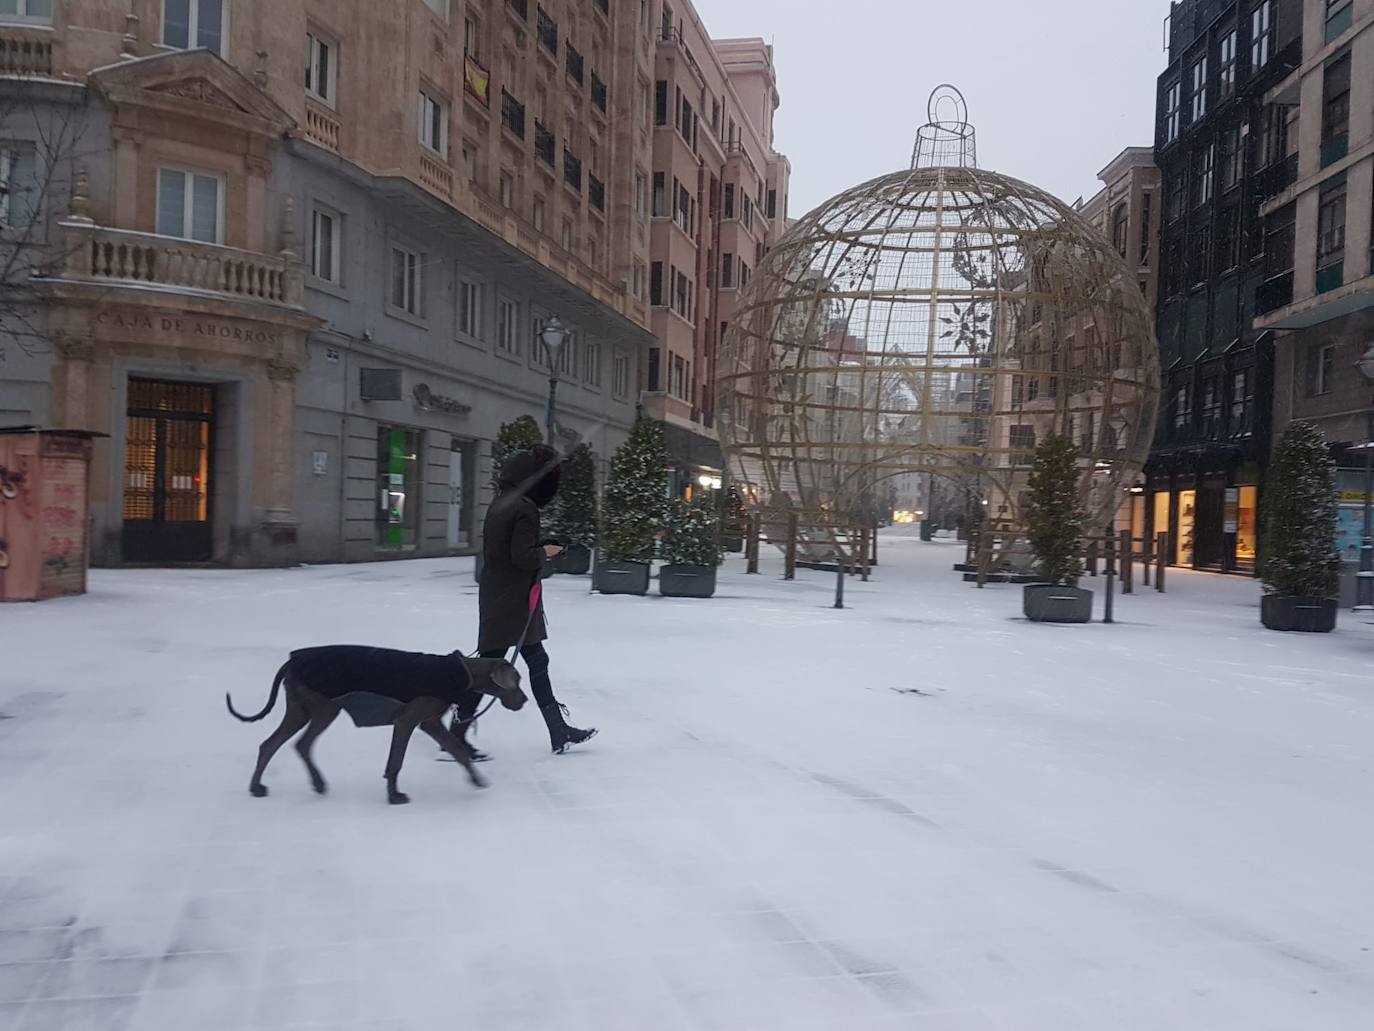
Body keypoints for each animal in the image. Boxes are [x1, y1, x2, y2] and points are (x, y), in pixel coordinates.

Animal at [225, 646, 524, 808]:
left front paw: (477, 780)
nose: (524, 700)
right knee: (288, 743)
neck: (462, 671)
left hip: (306, 710)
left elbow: (459, 752)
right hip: (323, 708)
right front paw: (394, 796)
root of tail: (293, 659)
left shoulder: (430, 722)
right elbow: (395, 762)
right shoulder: (407, 720)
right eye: (518, 680)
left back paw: (275, 786)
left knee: (278, 744)